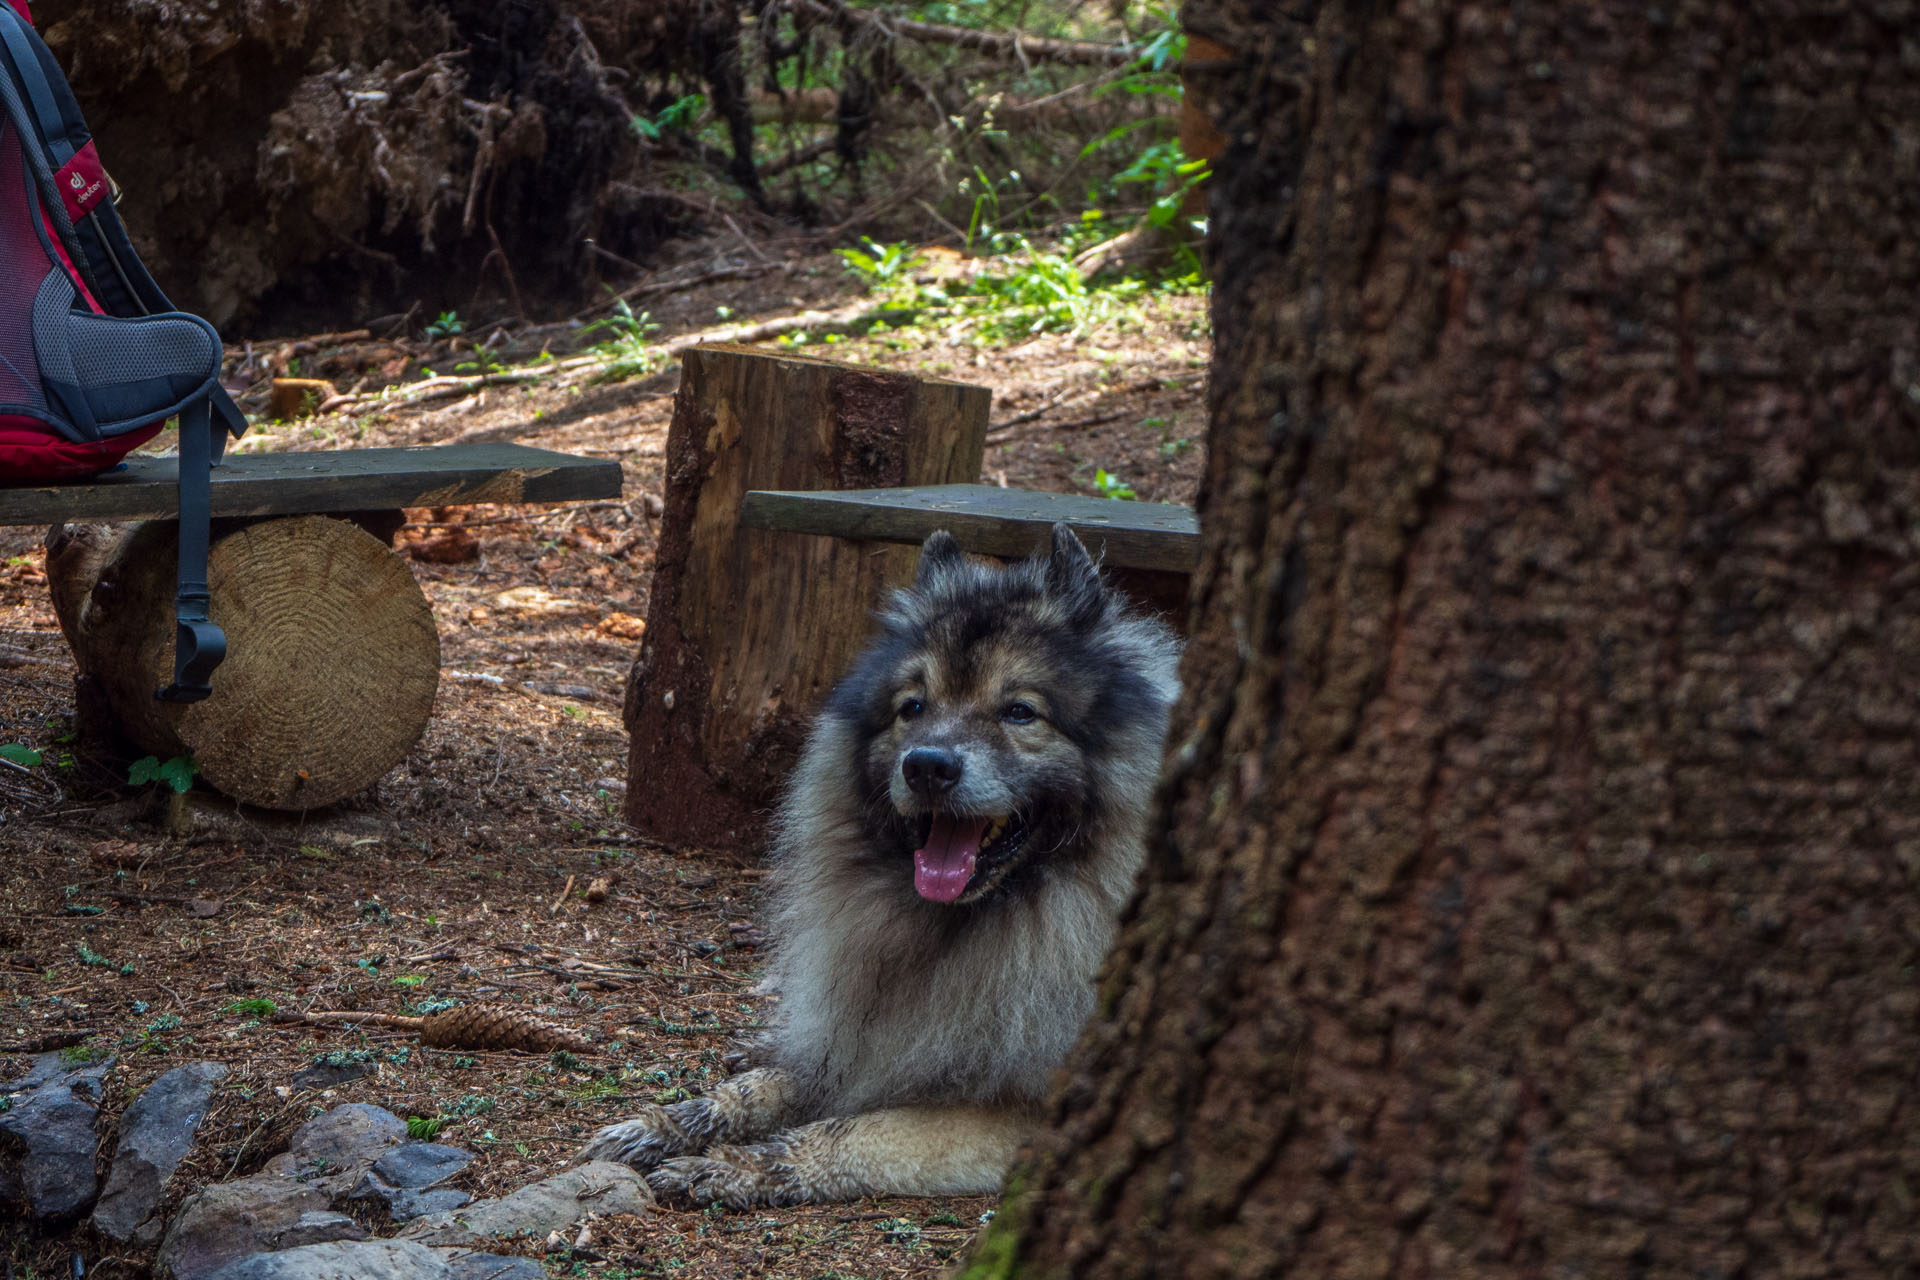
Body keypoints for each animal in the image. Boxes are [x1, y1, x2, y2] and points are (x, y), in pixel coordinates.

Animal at [579, 525, 1182, 1205]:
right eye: (912, 708)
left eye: (1020, 712)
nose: (927, 766)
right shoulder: (864, 1036)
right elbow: (761, 1089)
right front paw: (667, 1125)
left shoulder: (1024, 1114)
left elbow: (857, 1130)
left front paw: (740, 1166)